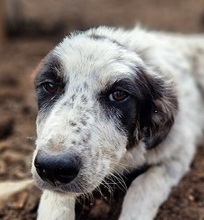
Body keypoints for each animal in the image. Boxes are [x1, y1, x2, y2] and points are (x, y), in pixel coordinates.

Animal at [31, 26, 204, 220]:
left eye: (119, 95)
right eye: (50, 86)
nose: (53, 168)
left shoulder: (179, 153)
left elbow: (144, 184)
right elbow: (55, 201)